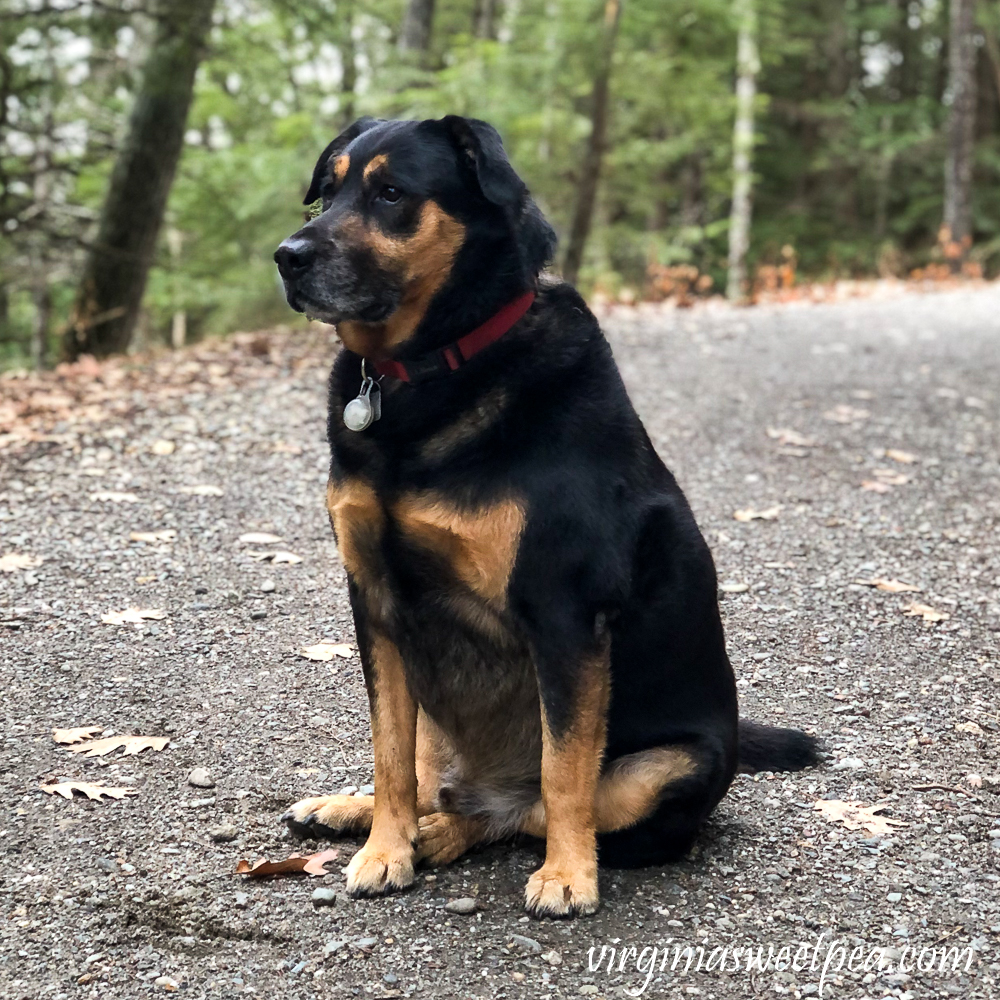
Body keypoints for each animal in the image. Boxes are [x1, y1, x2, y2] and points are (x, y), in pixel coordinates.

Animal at [276, 115, 820, 916]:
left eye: (391, 193)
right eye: (329, 190)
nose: (287, 257)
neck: (433, 364)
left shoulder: (563, 612)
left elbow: (565, 772)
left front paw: (566, 875)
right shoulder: (375, 604)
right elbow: (389, 752)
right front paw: (383, 846)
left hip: (667, 769)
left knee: (529, 809)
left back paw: (455, 834)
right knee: (434, 774)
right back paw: (366, 812)